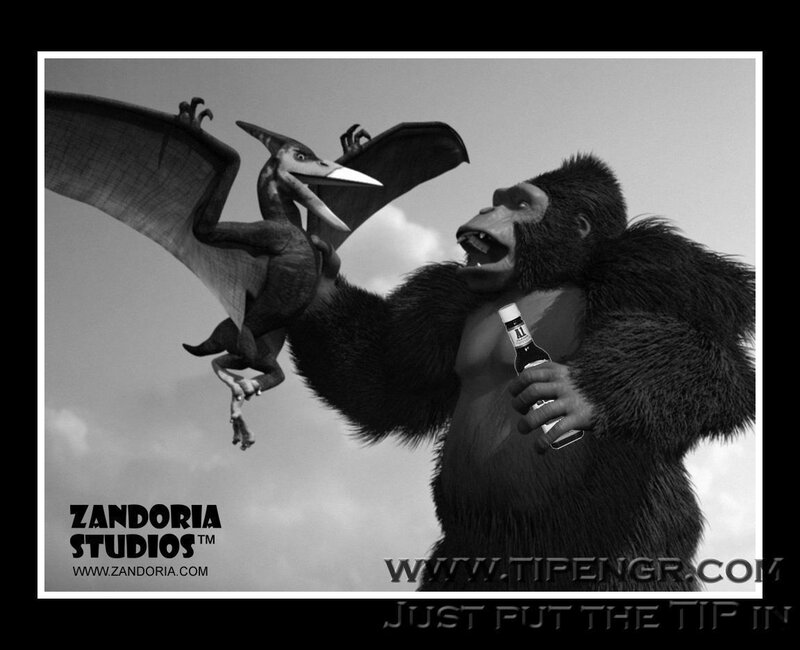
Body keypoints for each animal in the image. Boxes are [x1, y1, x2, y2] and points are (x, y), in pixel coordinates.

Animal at [287, 154, 755, 591]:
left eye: (521, 203)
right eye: (499, 200)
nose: (484, 208)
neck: (548, 275)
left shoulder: (661, 267)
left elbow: (720, 366)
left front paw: (578, 391)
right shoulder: (441, 304)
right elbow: (386, 378)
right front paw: (320, 285)